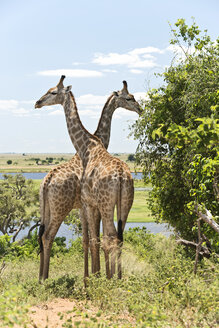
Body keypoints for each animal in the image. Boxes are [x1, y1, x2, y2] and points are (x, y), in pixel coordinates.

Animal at [35, 76, 139, 280]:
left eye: (53, 92)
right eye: (129, 98)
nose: (38, 102)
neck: (90, 144)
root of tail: (46, 181)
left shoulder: (88, 205)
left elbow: (92, 240)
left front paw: (93, 277)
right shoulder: (87, 205)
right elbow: (92, 240)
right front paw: (93, 276)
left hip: (59, 208)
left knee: (46, 235)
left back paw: (44, 279)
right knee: (116, 236)